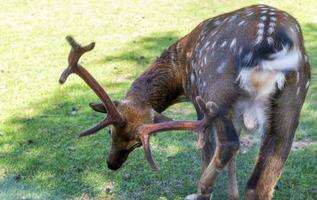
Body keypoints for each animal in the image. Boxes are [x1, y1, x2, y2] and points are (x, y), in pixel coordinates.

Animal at [58, 3, 308, 200]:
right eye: (110, 132)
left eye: (137, 143)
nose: (111, 164)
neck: (178, 69)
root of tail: (269, 41)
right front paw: (232, 195)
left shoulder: (198, 102)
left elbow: (210, 149)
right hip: (293, 98)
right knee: (261, 180)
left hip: (214, 89)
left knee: (228, 144)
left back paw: (202, 189)